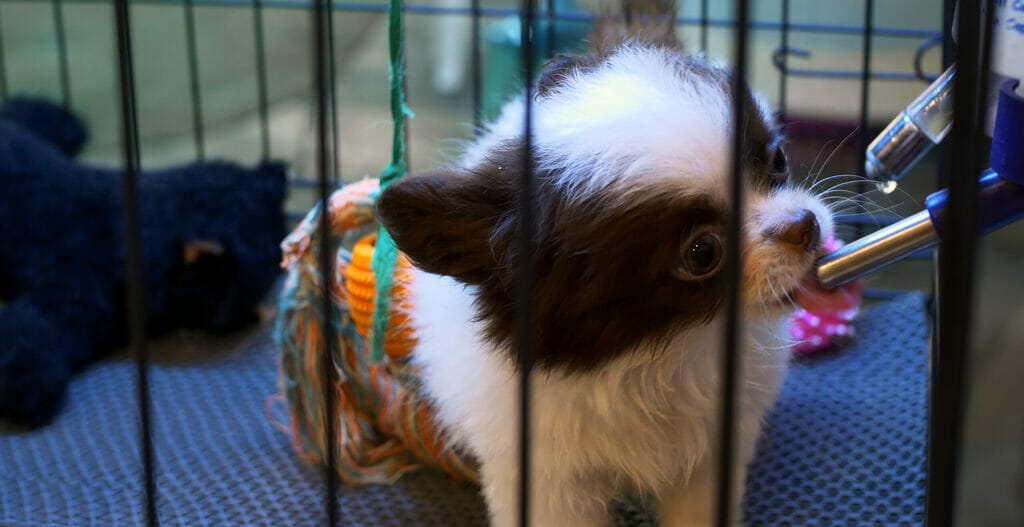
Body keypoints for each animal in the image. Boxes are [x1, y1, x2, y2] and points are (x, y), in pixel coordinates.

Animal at [376, 3, 831, 523]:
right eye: (703, 253)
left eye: (777, 161)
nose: (806, 226)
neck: (662, 350)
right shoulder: (546, 477)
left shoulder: (710, 456)